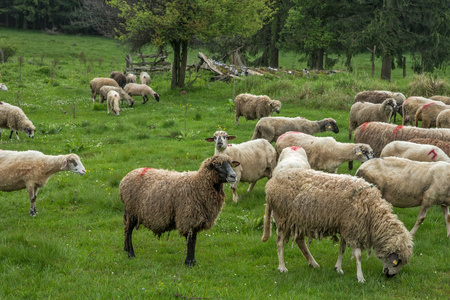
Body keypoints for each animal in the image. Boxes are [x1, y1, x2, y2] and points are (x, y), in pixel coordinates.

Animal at [262, 169, 414, 284]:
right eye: (397, 262)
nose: (390, 276)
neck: (372, 211)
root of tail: (270, 183)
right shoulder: (353, 228)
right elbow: (358, 256)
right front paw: (360, 277)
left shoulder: (346, 227)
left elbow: (342, 249)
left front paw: (338, 268)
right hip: (282, 217)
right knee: (280, 242)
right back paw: (282, 267)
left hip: (298, 220)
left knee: (300, 241)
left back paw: (313, 263)